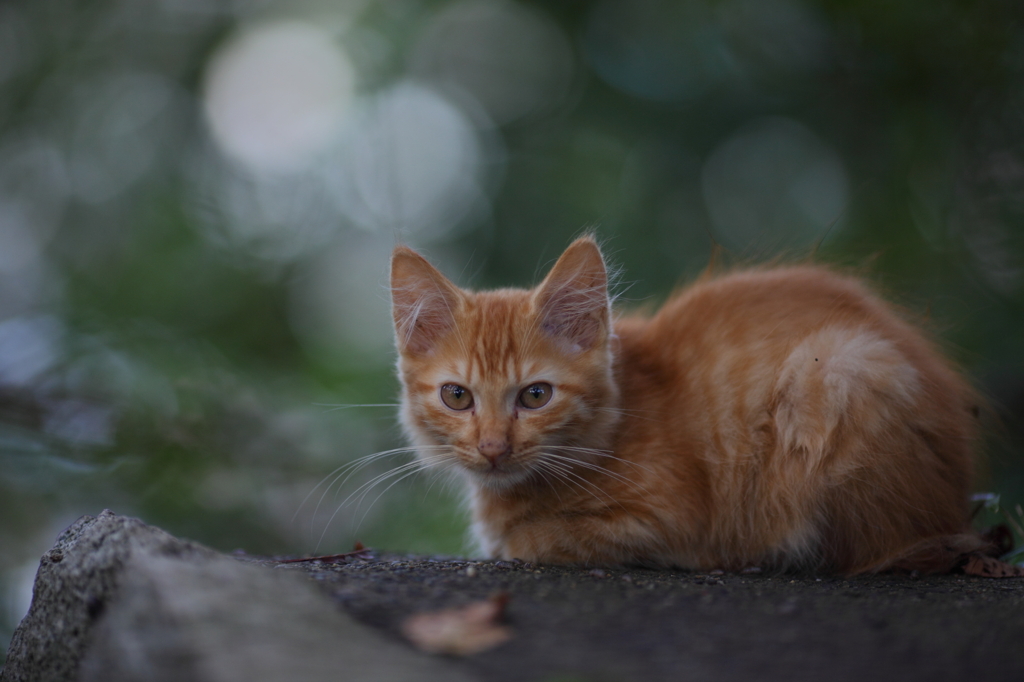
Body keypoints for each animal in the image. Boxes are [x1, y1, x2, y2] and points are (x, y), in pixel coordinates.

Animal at [389, 236, 991, 569]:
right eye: (457, 396)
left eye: (535, 395)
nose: (493, 448)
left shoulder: (670, 516)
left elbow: (535, 538)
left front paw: (518, 535)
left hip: (838, 370)